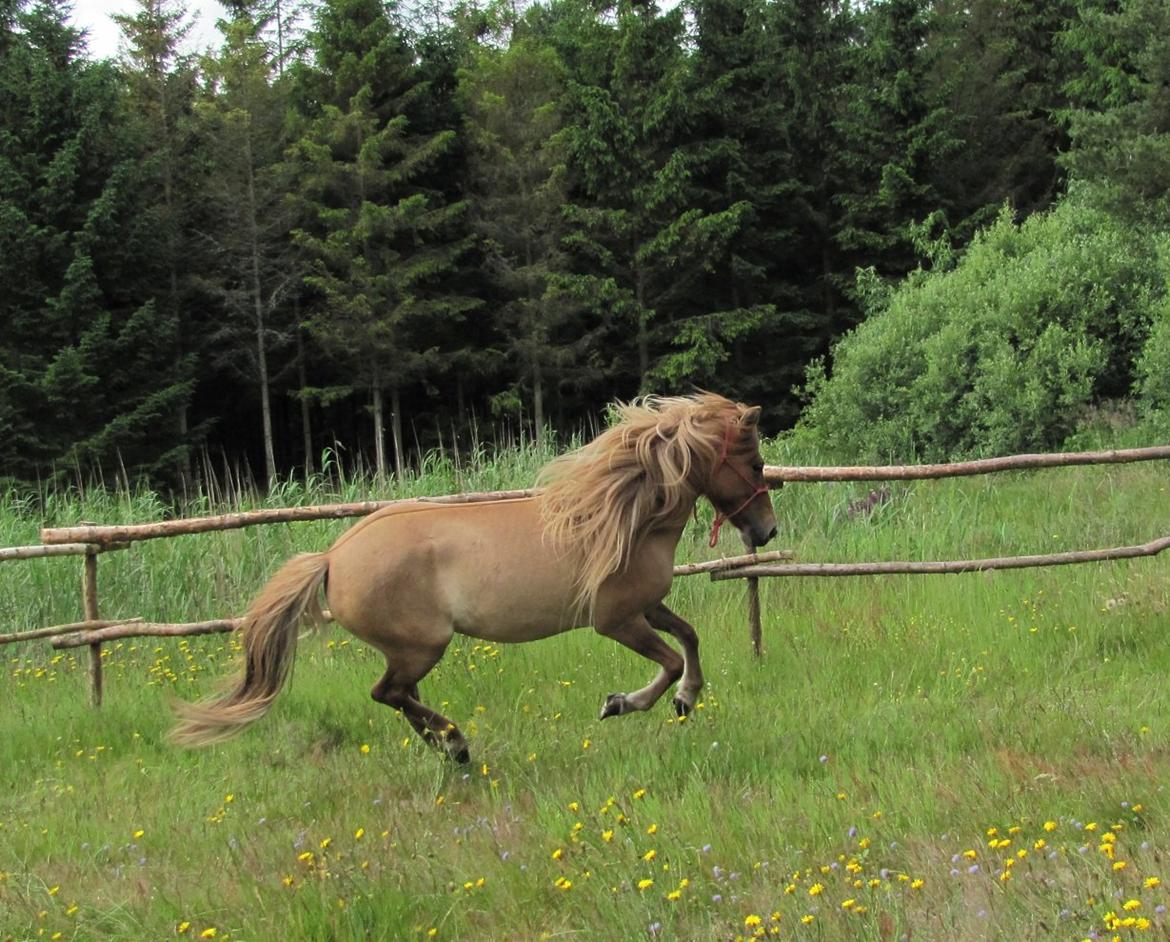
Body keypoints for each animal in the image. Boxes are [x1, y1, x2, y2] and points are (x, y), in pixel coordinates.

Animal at [170, 393, 776, 762]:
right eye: (756, 465)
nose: (767, 531)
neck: (625, 514)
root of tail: (334, 557)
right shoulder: (615, 619)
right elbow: (670, 660)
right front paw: (623, 703)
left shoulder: (646, 606)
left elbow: (690, 637)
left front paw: (687, 699)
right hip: (422, 645)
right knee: (387, 692)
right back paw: (456, 742)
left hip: (408, 649)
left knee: (399, 697)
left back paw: (450, 749)